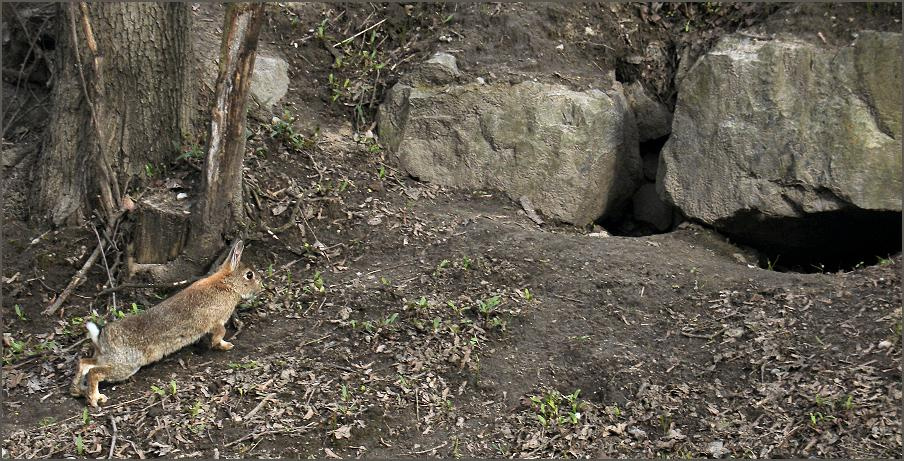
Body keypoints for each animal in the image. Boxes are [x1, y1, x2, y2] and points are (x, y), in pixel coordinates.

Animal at [70, 240, 262, 407]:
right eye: (249, 275)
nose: (261, 286)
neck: (227, 283)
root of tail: (101, 337)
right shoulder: (216, 321)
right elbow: (219, 333)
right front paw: (224, 345)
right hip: (126, 364)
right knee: (95, 372)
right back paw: (95, 399)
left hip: (108, 359)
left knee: (84, 363)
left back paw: (78, 391)